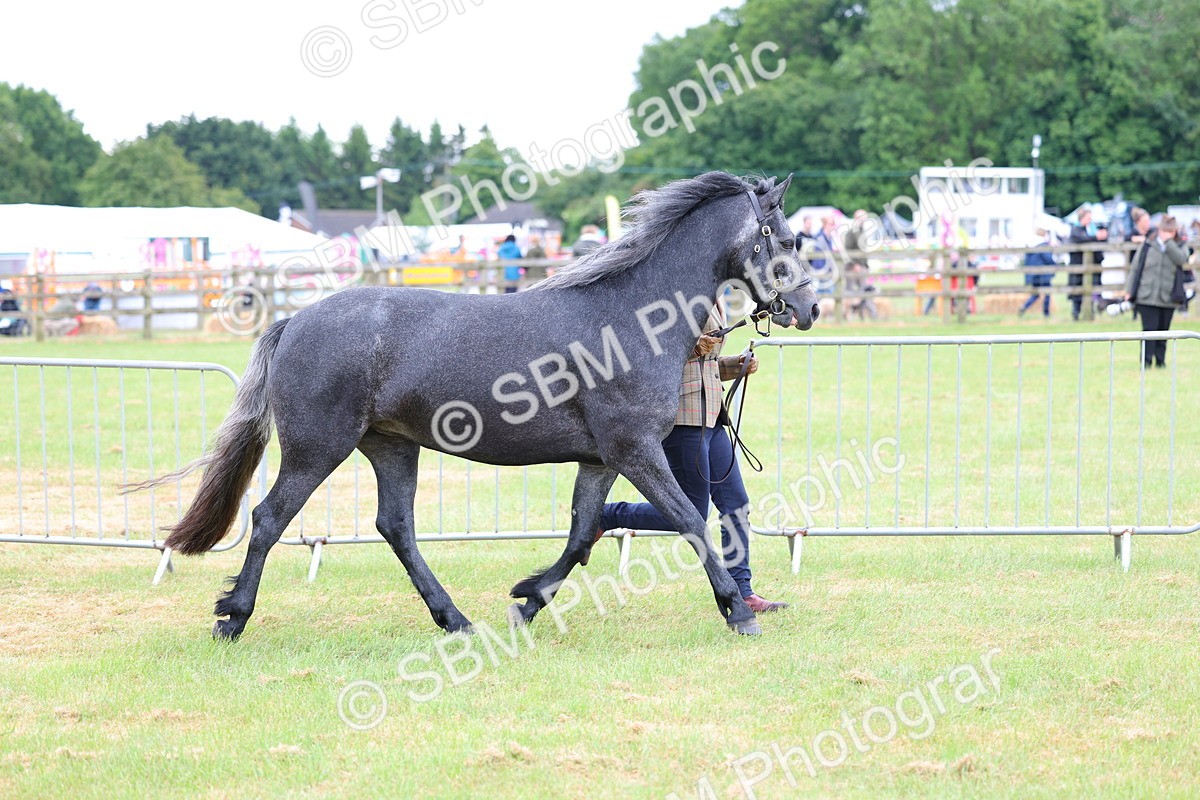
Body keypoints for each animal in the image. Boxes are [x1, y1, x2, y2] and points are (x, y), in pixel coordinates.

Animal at [147, 171, 820, 640]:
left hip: (391, 447)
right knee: (268, 519)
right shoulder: (636, 451)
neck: (628, 316)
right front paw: (737, 612)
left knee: (396, 527)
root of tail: (293, 320)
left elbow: (583, 532)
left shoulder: (603, 459)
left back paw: (457, 620)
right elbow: (691, 522)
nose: (809, 309)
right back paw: (232, 617)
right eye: (787, 240)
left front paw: (528, 600)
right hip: (319, 449)